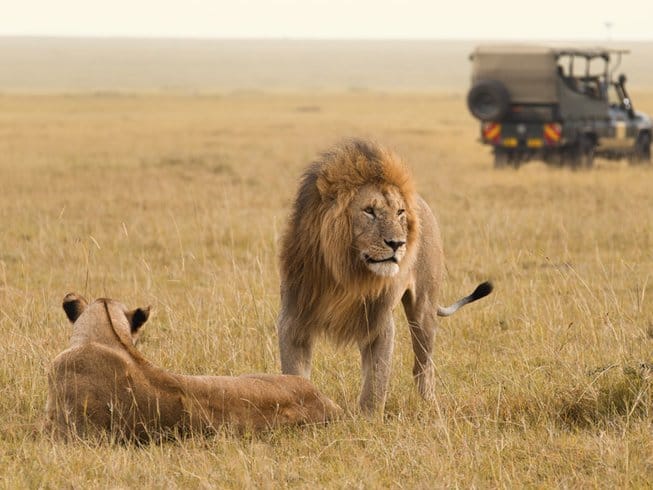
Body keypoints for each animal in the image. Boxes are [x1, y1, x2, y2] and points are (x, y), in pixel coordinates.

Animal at [277, 139, 493, 412]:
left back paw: (430, 405)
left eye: (399, 212)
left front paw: (367, 420)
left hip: (423, 310)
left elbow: (376, 382)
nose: (397, 243)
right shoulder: (293, 319)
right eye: (369, 211)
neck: (346, 274)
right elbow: (294, 375)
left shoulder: (379, 322)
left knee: (423, 365)